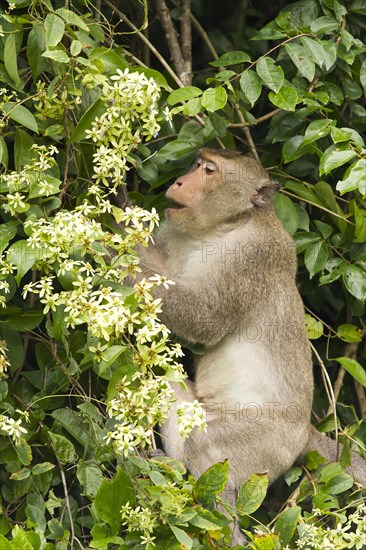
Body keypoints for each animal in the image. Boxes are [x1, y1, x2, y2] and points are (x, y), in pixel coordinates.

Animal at [134, 148, 366, 548]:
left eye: (209, 171)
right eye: (197, 164)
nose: (180, 181)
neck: (225, 226)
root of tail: (304, 431)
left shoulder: (250, 255)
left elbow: (204, 321)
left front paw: (112, 243)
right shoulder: (175, 232)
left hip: (266, 443)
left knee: (208, 449)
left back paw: (226, 530)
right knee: (168, 386)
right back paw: (169, 464)